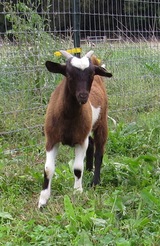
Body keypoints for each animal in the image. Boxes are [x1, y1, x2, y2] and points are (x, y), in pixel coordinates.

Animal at [38, 50, 112, 208]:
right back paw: (89, 170)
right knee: (91, 144)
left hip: (102, 122)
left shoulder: (80, 141)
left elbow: (77, 169)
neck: (68, 118)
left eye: (91, 74)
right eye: (69, 74)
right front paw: (43, 201)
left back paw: (95, 181)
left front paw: (78, 192)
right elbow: (48, 169)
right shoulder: (51, 140)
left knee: (99, 151)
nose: (83, 96)